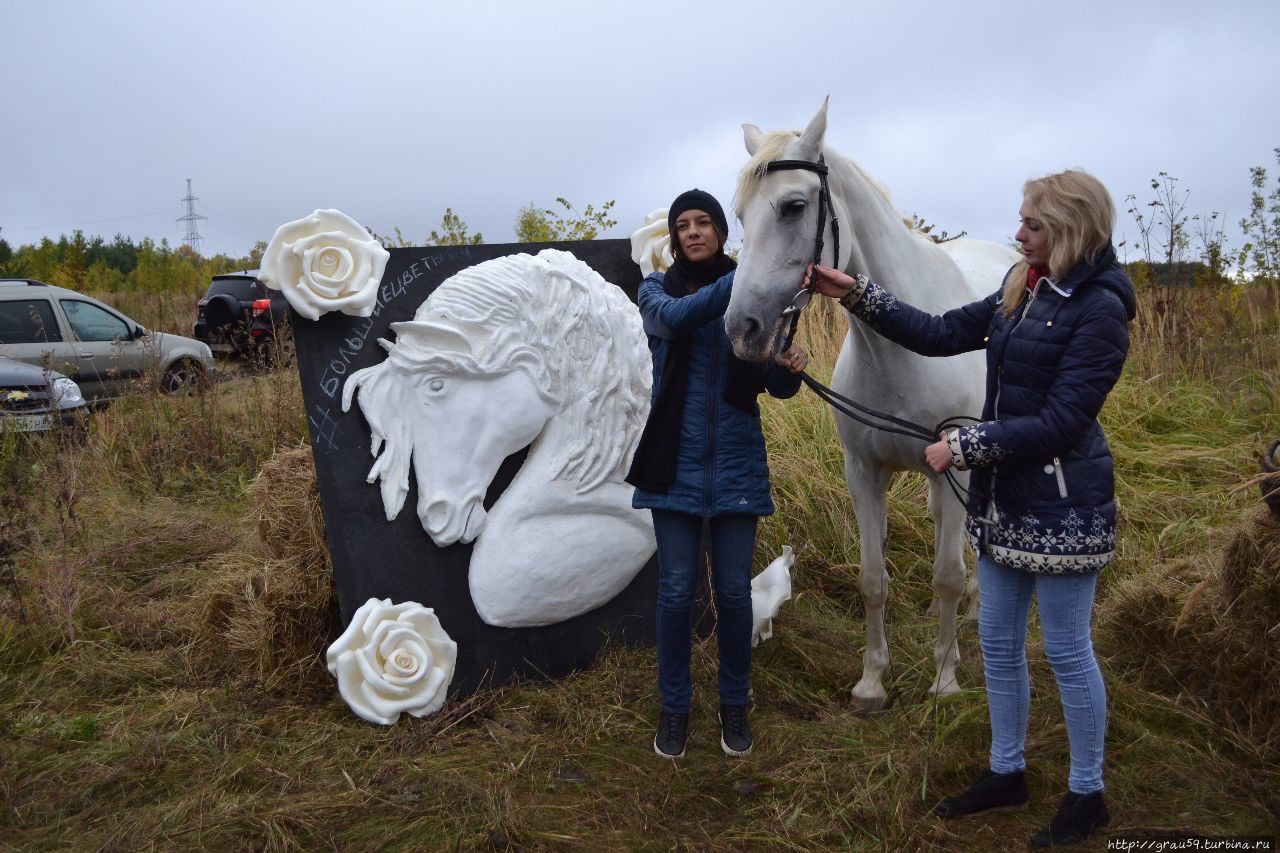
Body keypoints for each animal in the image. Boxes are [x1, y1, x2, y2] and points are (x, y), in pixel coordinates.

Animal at [732, 101, 1018, 712]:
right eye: (740, 214)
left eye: (793, 206)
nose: (741, 329)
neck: (900, 353)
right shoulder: (863, 470)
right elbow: (872, 579)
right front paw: (871, 683)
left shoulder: (955, 464)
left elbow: (947, 573)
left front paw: (945, 677)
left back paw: (975, 615)